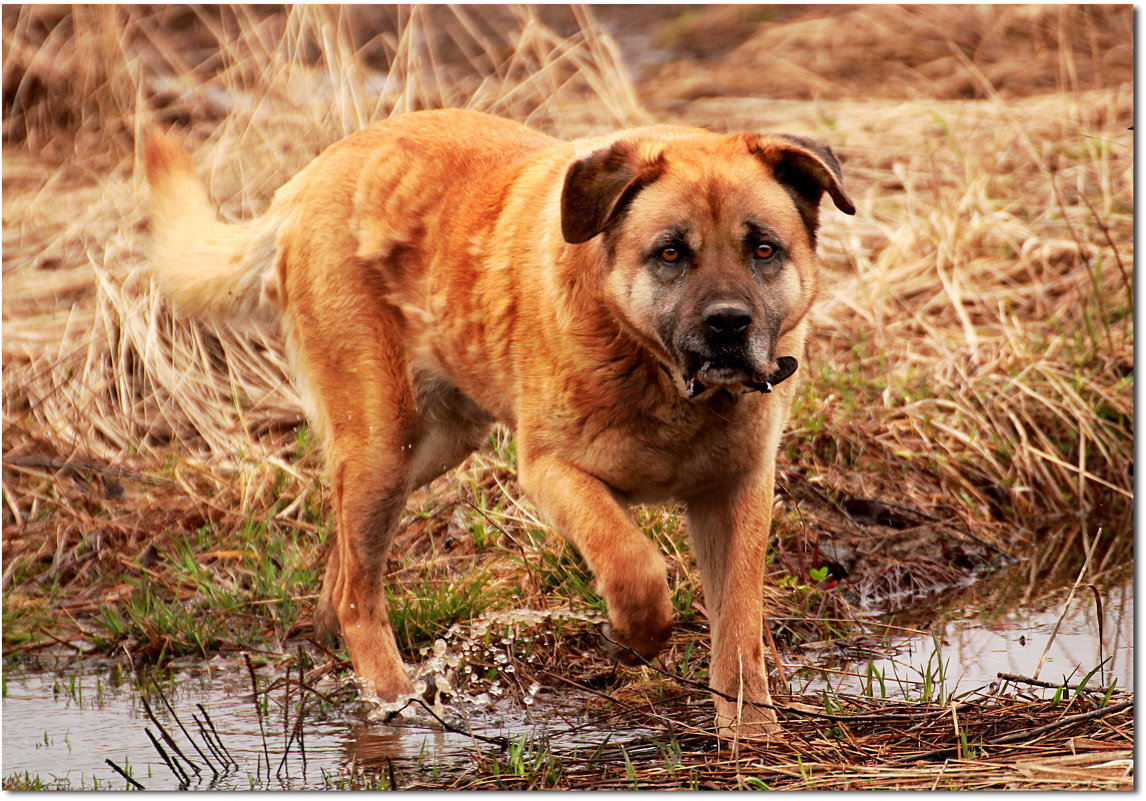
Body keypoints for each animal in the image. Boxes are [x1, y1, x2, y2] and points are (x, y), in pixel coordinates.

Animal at [143, 108, 857, 737]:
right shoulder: (554, 473)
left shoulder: (738, 490)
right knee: (358, 592)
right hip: (381, 444)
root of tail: (311, 177)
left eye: (763, 248)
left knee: (346, 565)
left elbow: (739, 628)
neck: (658, 377)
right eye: (671, 253)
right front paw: (634, 640)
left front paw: (753, 739)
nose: (729, 324)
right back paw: (396, 699)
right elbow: (633, 566)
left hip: (432, 445)